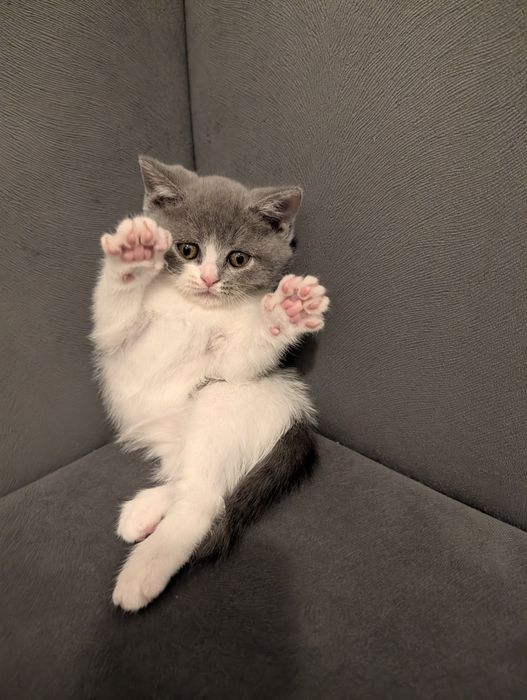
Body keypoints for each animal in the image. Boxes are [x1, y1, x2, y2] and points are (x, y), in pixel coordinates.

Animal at [91, 156, 329, 611]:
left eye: (238, 259)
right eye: (187, 250)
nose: (207, 280)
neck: (194, 308)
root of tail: (297, 415)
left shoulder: (230, 366)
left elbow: (241, 359)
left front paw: (287, 310)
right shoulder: (118, 334)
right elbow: (113, 316)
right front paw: (132, 255)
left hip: (225, 398)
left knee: (205, 497)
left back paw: (145, 569)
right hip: (179, 439)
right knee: (194, 479)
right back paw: (143, 513)